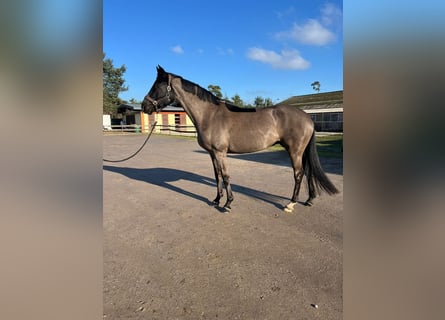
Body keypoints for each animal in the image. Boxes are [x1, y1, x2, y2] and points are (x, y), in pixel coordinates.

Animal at [142, 66, 336, 211]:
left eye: (156, 87)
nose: (145, 106)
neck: (209, 115)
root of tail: (307, 117)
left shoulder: (220, 153)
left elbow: (226, 176)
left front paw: (228, 203)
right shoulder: (212, 154)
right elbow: (217, 176)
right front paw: (216, 199)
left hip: (295, 151)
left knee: (298, 174)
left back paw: (291, 203)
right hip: (301, 151)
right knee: (308, 171)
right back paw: (309, 199)